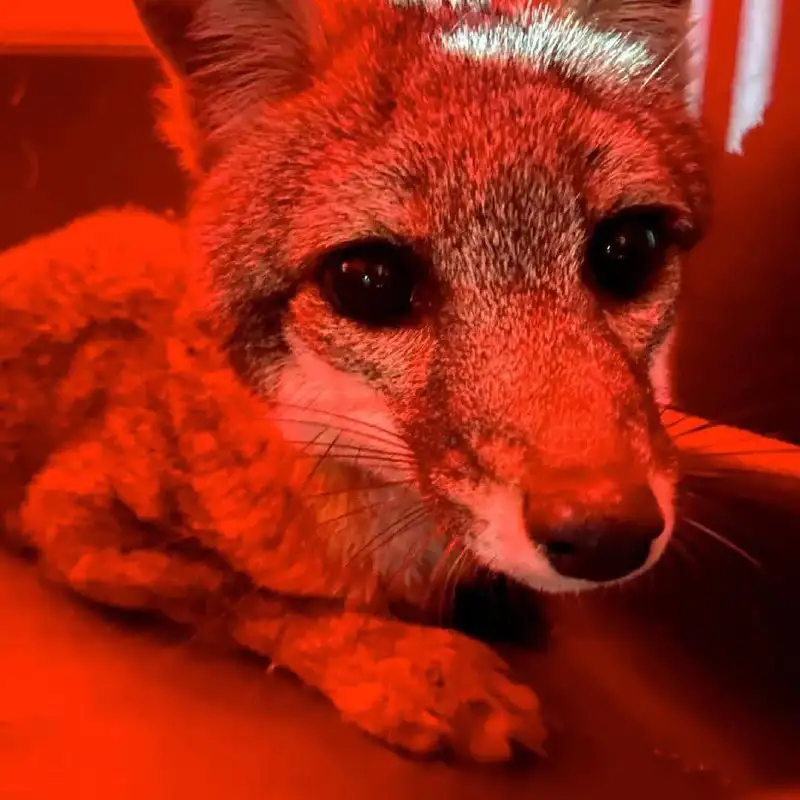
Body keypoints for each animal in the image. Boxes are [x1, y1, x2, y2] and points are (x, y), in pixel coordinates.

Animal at [0, 0, 713, 763]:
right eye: (368, 280)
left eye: (628, 248)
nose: (608, 537)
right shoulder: (76, 518)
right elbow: (257, 597)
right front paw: (412, 666)